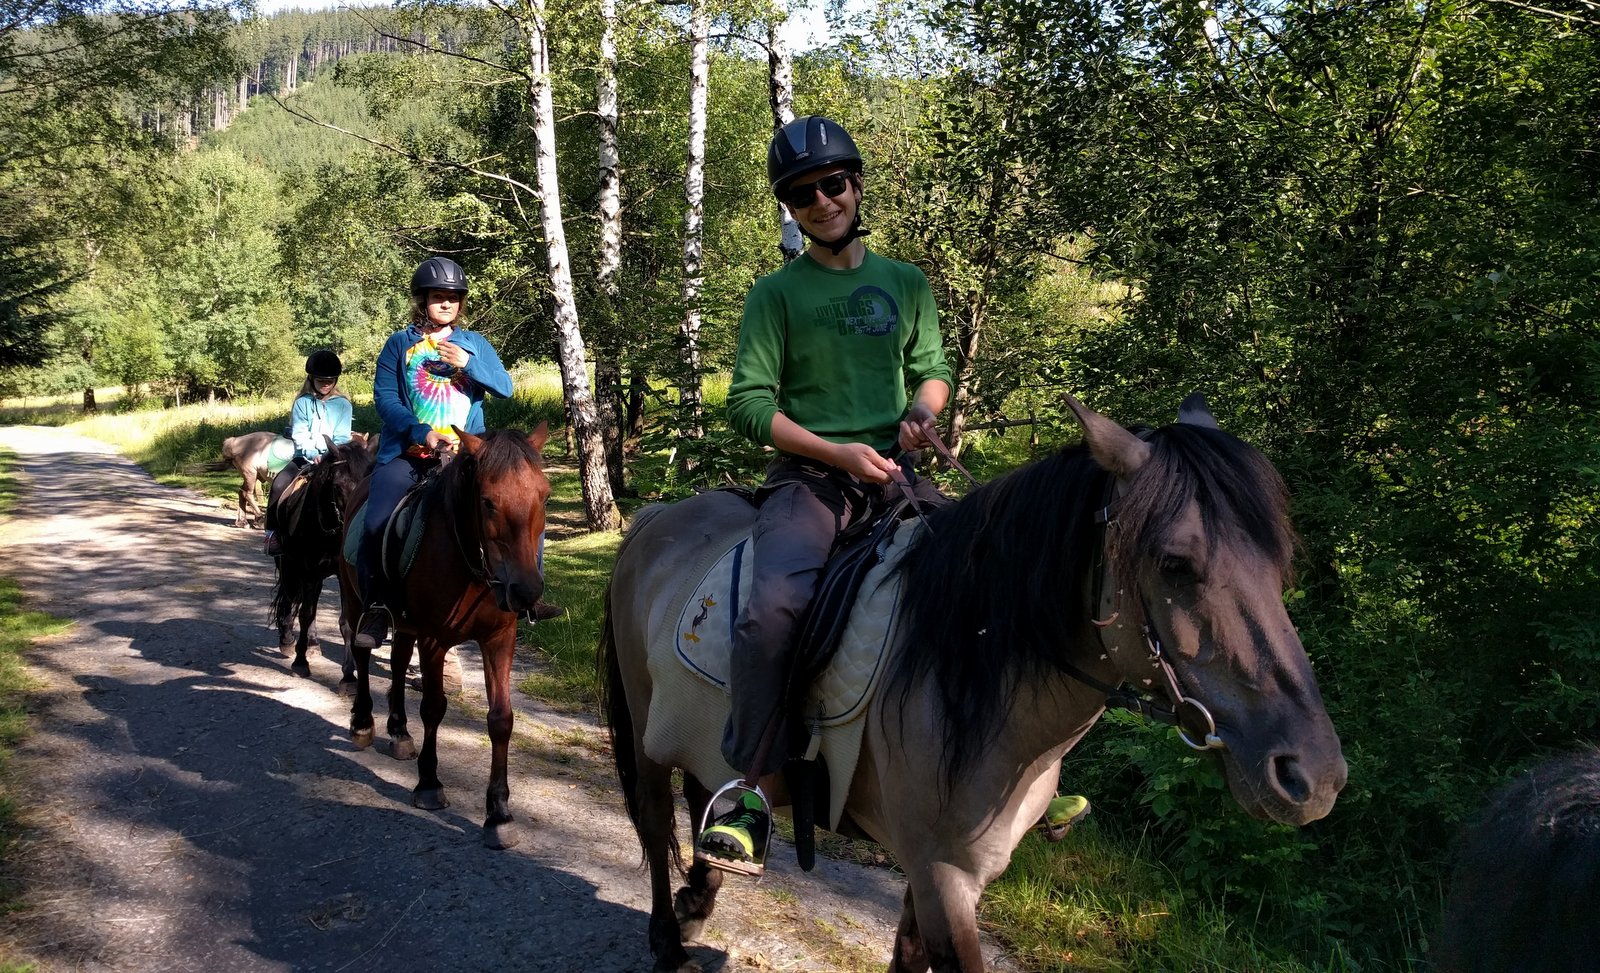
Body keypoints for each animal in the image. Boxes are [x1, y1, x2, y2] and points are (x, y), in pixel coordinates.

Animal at [272, 435, 380, 684]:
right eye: (337, 486)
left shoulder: (340, 575)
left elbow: (346, 622)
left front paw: (348, 677)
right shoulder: (307, 571)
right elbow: (304, 614)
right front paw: (300, 663)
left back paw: (312, 644)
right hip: (287, 565)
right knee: (289, 598)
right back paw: (287, 640)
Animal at [336, 422, 550, 844]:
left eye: (544, 495)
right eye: (487, 502)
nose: (526, 592)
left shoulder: (500, 639)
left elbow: (501, 719)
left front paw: (498, 813)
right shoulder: (434, 640)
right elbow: (434, 708)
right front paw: (429, 785)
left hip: (405, 625)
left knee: (398, 663)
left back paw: (399, 732)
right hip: (355, 602)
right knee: (363, 654)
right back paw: (364, 723)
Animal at [601, 396, 1350, 973]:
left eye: (1280, 559)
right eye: (1175, 563)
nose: (1314, 776)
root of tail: (658, 518)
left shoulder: (948, 874)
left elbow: (907, 958)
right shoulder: (943, 876)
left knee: (705, 784)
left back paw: (704, 891)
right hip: (644, 728)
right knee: (654, 818)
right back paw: (670, 937)